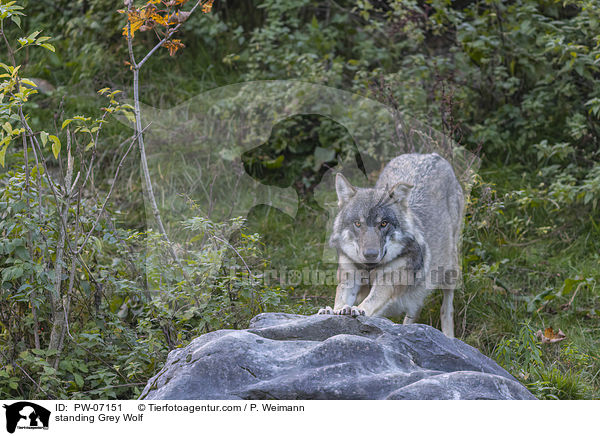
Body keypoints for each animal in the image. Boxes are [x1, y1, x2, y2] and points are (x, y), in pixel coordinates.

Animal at [318, 153, 464, 338]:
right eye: (358, 224)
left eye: (383, 223)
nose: (370, 254)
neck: (369, 269)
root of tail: (430, 155)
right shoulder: (349, 278)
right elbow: (340, 299)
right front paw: (332, 310)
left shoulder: (386, 283)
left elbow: (370, 301)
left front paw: (357, 310)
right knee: (414, 311)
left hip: (450, 270)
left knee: (446, 309)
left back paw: (448, 336)